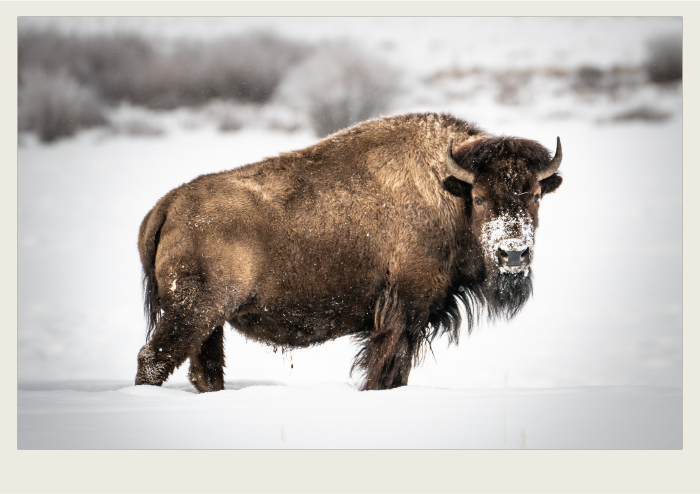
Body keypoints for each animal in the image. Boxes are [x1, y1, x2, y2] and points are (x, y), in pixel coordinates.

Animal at [135, 112, 563, 392]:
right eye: (479, 197)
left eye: (535, 195)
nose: (513, 255)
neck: (448, 191)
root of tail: (168, 204)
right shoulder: (403, 314)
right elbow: (387, 372)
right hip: (191, 314)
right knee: (153, 360)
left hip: (209, 323)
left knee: (203, 370)